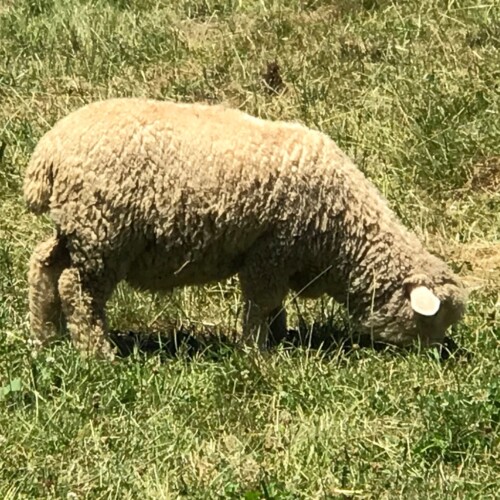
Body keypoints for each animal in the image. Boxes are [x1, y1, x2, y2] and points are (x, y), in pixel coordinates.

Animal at [23, 97, 466, 356]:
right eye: (431, 320)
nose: (432, 359)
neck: (343, 234)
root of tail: (49, 151)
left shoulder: (278, 258)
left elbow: (274, 305)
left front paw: (279, 336)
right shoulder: (272, 250)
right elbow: (261, 302)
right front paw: (258, 351)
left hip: (78, 228)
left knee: (43, 265)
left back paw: (46, 336)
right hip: (103, 233)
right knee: (77, 290)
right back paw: (98, 353)